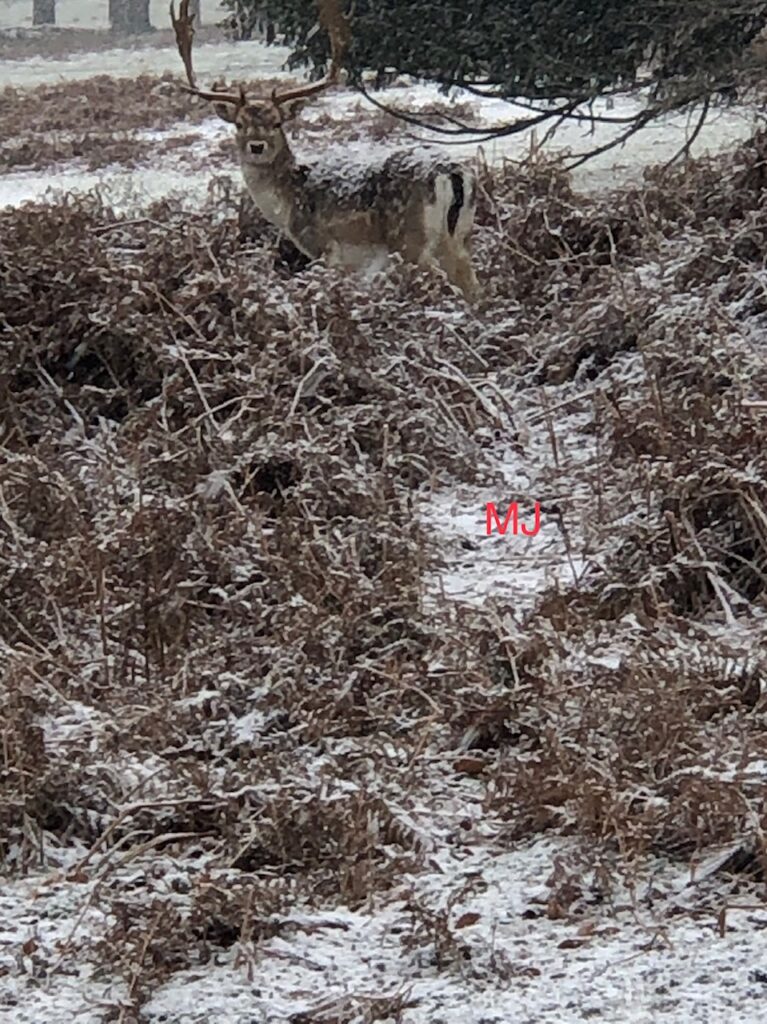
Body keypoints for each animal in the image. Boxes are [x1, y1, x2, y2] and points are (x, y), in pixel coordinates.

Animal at [169, 0, 481, 301]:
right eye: (239, 124)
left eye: (277, 122)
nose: (256, 146)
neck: (287, 203)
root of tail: (452, 173)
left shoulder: (324, 247)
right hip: (460, 235)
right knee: (472, 285)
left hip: (410, 237)